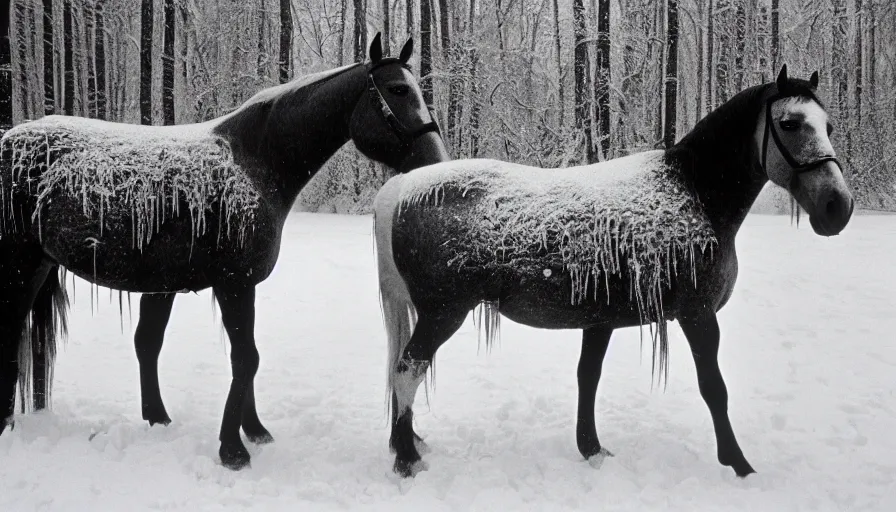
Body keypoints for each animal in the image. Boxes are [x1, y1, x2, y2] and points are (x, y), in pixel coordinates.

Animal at [0, 34, 448, 470]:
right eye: (397, 89)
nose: (436, 160)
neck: (255, 159)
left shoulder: (204, 286)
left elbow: (197, 349)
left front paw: (246, 429)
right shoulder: (233, 284)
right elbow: (245, 358)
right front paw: (233, 448)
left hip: (39, 266)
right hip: (20, 265)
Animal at [372, 66, 856, 478]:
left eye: (828, 126)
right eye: (790, 124)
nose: (838, 207)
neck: (693, 190)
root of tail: (402, 187)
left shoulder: (598, 320)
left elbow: (588, 378)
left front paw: (591, 449)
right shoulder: (698, 316)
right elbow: (714, 389)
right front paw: (738, 464)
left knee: (401, 373)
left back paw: (406, 442)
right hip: (443, 313)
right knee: (407, 370)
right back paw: (406, 458)